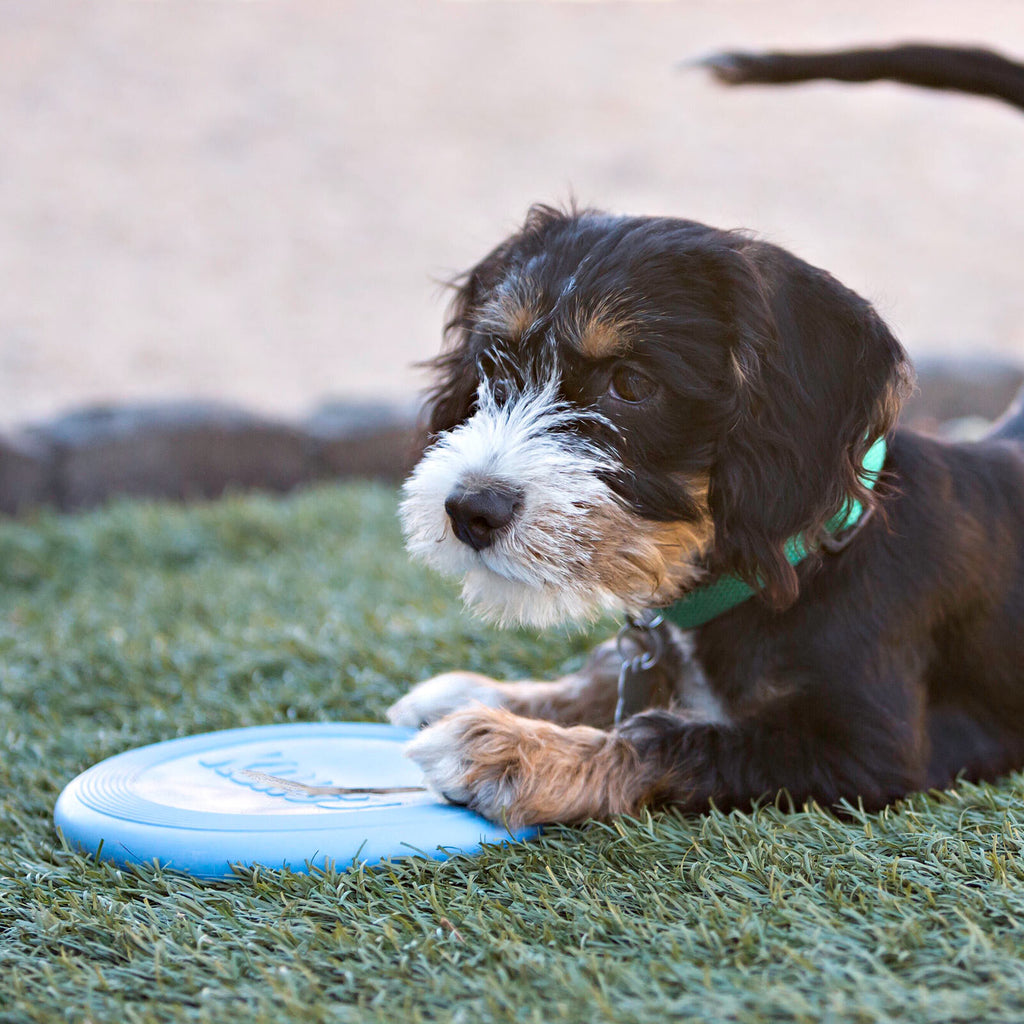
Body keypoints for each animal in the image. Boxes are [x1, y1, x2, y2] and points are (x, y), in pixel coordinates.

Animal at [385, 46, 1024, 831]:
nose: (470, 511)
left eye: (631, 384)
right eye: (491, 363)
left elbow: (678, 736)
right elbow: (616, 671)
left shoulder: (870, 751)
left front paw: (512, 749)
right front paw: (491, 694)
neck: (808, 555)